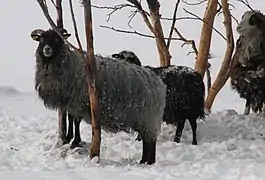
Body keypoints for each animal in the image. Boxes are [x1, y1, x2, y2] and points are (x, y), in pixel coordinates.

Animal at [30, 28, 165, 165]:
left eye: (57, 39)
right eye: (41, 39)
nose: (47, 49)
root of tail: (158, 82)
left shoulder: (78, 101)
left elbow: (76, 121)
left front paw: (75, 141)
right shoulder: (70, 102)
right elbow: (70, 118)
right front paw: (68, 138)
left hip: (148, 117)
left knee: (150, 141)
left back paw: (148, 161)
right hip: (145, 119)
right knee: (147, 140)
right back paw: (144, 160)